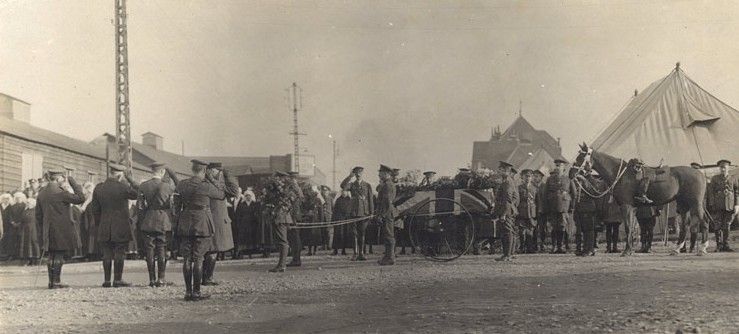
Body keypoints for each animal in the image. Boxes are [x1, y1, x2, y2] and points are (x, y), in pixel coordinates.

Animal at [576, 143, 708, 256]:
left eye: (581, 156)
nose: (574, 173)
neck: (621, 174)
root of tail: (699, 173)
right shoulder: (632, 208)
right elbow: (631, 229)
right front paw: (630, 250)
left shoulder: (626, 206)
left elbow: (628, 227)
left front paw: (626, 251)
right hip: (683, 205)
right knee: (685, 226)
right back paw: (676, 249)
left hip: (695, 204)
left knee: (704, 222)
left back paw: (702, 248)